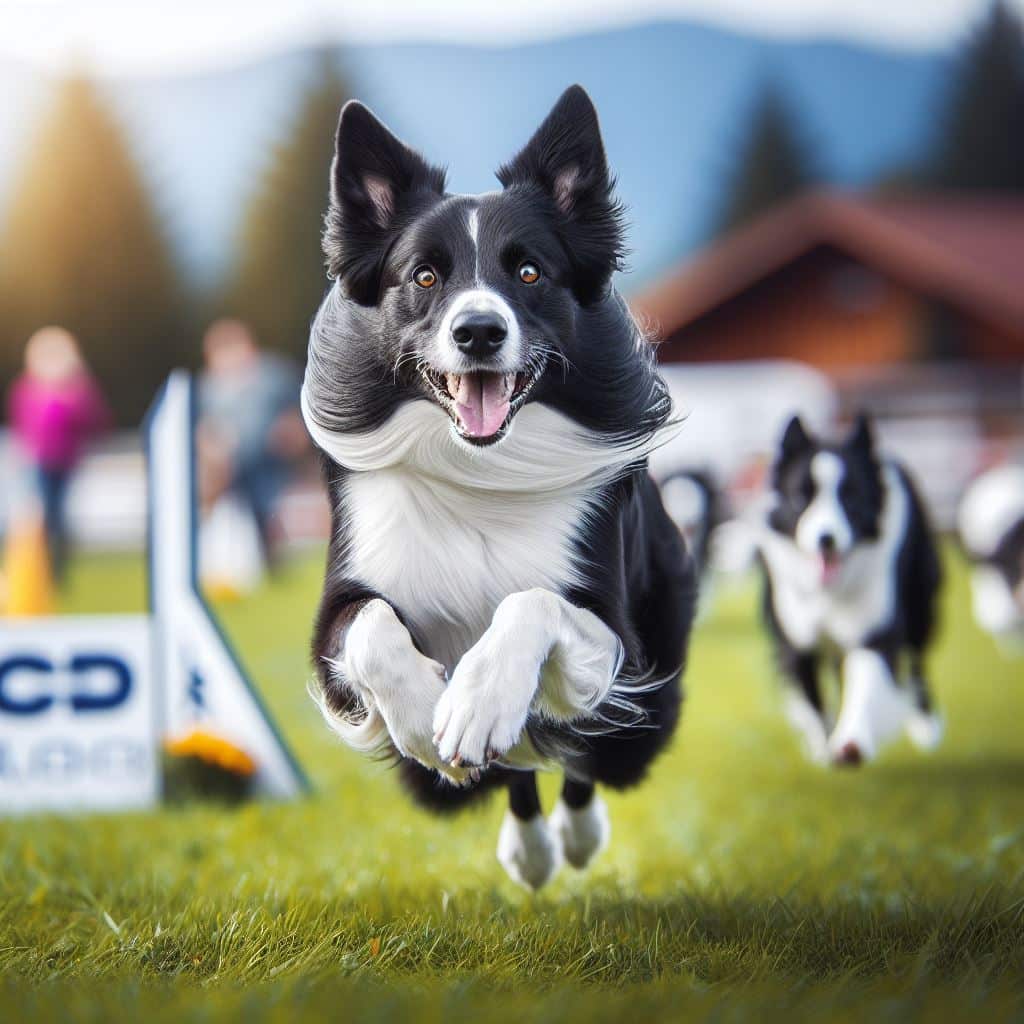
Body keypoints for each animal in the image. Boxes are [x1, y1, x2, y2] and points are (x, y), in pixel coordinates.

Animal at [299, 88, 696, 888]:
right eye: (424, 277)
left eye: (531, 272)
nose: (479, 331)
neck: (478, 469)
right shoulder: (337, 618)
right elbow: (372, 628)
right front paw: (428, 715)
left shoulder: (615, 630)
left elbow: (532, 604)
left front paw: (475, 703)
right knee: (522, 764)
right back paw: (533, 845)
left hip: (650, 692)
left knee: (585, 750)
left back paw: (572, 835)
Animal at [753, 413, 942, 761]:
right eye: (801, 497)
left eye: (850, 498)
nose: (826, 539)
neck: (828, 592)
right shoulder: (794, 637)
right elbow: (810, 696)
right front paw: (822, 743)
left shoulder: (875, 630)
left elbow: (866, 681)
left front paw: (851, 741)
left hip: (921, 603)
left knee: (917, 662)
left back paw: (926, 725)